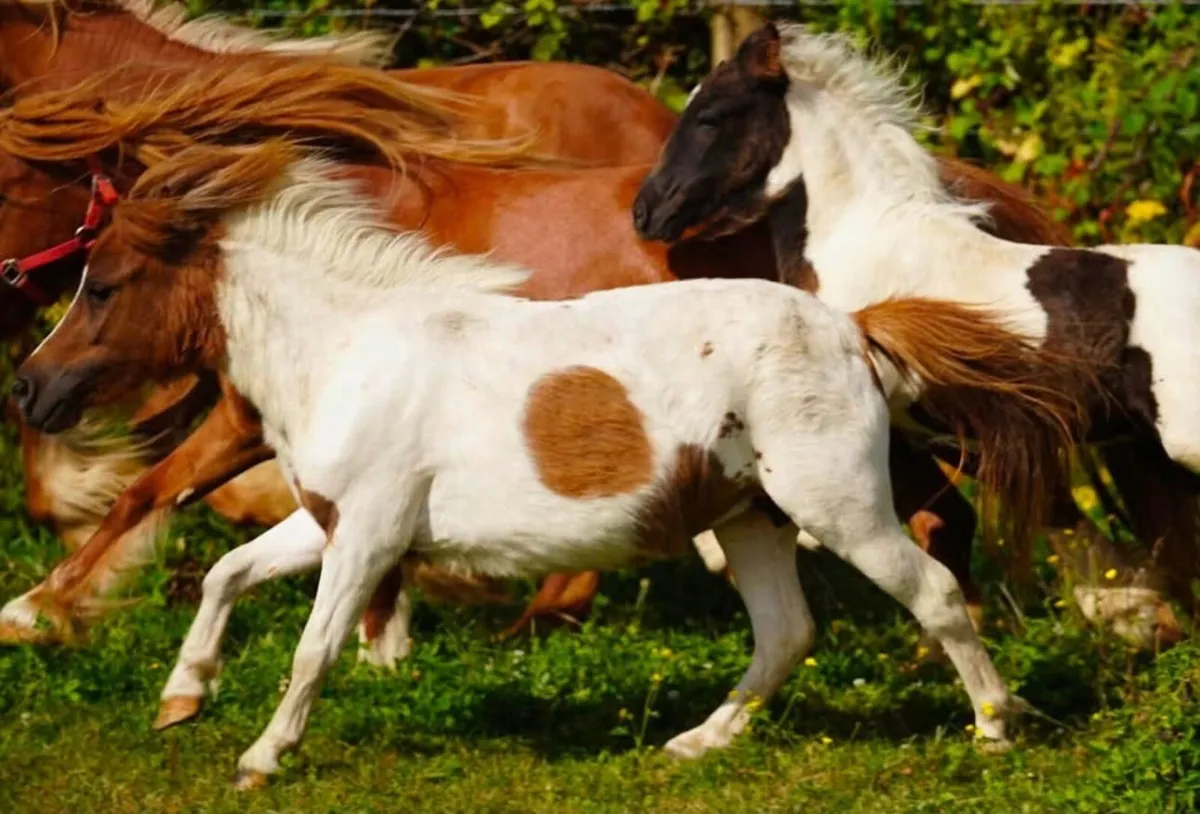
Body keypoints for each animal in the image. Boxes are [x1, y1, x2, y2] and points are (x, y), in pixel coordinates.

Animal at [13, 139, 1096, 784]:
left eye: (104, 285)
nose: (29, 388)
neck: (351, 348)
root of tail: (855, 332)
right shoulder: (337, 523)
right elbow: (229, 575)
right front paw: (179, 699)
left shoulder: (367, 535)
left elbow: (312, 646)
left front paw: (260, 756)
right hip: (749, 518)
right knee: (788, 631)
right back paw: (695, 743)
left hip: (838, 506)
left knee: (934, 592)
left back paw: (995, 725)